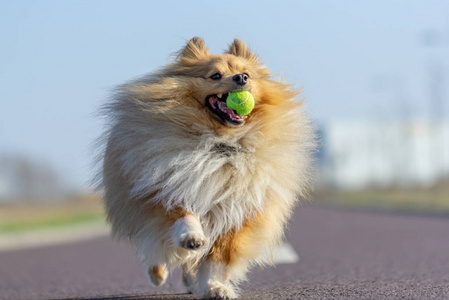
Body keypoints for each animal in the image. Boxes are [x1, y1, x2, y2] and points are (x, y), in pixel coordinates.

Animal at [99, 37, 314, 298]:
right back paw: (158, 273)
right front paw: (192, 237)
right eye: (215, 75)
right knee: (156, 249)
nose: (241, 78)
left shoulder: (237, 211)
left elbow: (218, 258)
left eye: (247, 74)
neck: (220, 145)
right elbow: (183, 216)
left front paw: (214, 287)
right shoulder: (166, 188)